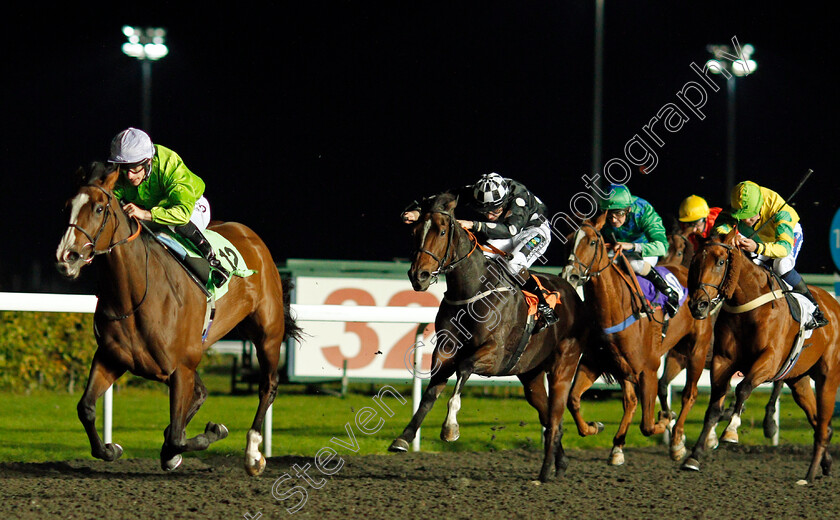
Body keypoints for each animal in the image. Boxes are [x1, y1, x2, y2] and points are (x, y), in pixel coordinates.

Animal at [55, 162, 302, 476]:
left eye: (99, 208)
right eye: (67, 207)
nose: (67, 257)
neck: (136, 295)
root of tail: (250, 235)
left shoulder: (181, 366)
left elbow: (176, 438)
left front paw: (213, 432)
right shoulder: (112, 357)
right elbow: (86, 408)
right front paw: (111, 448)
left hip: (267, 332)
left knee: (267, 386)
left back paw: (253, 453)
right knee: (201, 392)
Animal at [388, 193, 592, 482]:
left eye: (442, 232)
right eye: (415, 233)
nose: (419, 276)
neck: (472, 290)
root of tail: (575, 296)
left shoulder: (494, 355)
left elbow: (463, 369)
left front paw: (450, 428)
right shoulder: (445, 350)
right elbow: (429, 394)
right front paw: (403, 438)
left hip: (563, 367)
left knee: (554, 418)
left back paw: (543, 474)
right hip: (531, 375)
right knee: (546, 414)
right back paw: (560, 463)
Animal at [560, 213, 712, 466]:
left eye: (592, 242)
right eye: (568, 240)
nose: (570, 275)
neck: (614, 307)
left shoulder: (648, 369)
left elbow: (648, 425)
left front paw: (665, 419)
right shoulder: (595, 362)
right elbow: (572, 399)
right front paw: (594, 427)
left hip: (696, 350)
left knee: (689, 394)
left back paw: (677, 442)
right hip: (653, 359)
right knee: (631, 401)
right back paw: (618, 447)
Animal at [684, 229, 840, 484]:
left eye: (720, 262)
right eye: (695, 261)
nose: (699, 305)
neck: (748, 305)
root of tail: (833, 304)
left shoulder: (770, 361)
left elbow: (743, 388)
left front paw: (731, 431)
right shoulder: (722, 361)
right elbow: (713, 408)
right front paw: (694, 456)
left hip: (828, 378)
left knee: (823, 423)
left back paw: (808, 475)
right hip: (798, 380)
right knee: (820, 424)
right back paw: (824, 465)